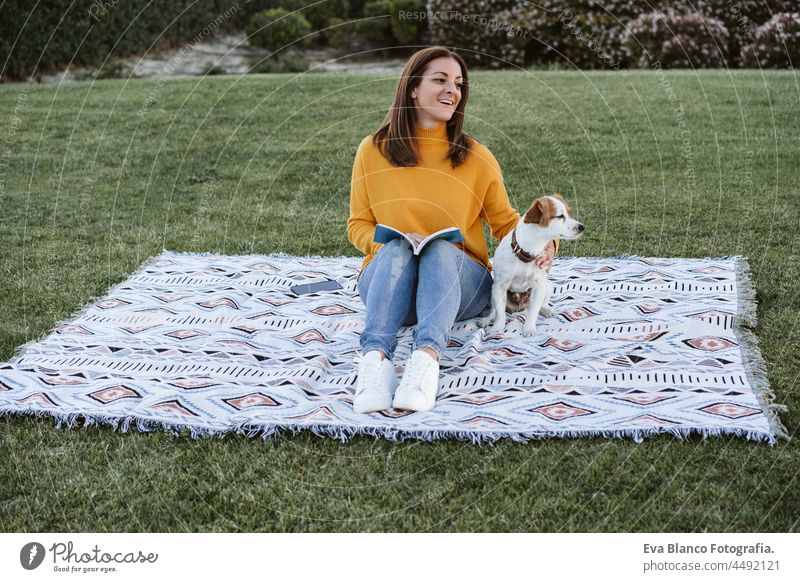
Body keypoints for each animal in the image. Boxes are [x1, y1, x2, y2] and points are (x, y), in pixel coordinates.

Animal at [478, 195, 584, 338]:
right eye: (560, 216)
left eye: (569, 213)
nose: (582, 227)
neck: (529, 251)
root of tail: (518, 308)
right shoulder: (499, 286)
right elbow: (500, 313)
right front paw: (497, 328)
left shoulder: (539, 287)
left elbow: (533, 313)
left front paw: (528, 328)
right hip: (492, 290)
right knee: (494, 309)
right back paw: (487, 319)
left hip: (547, 286)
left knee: (542, 303)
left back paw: (546, 310)